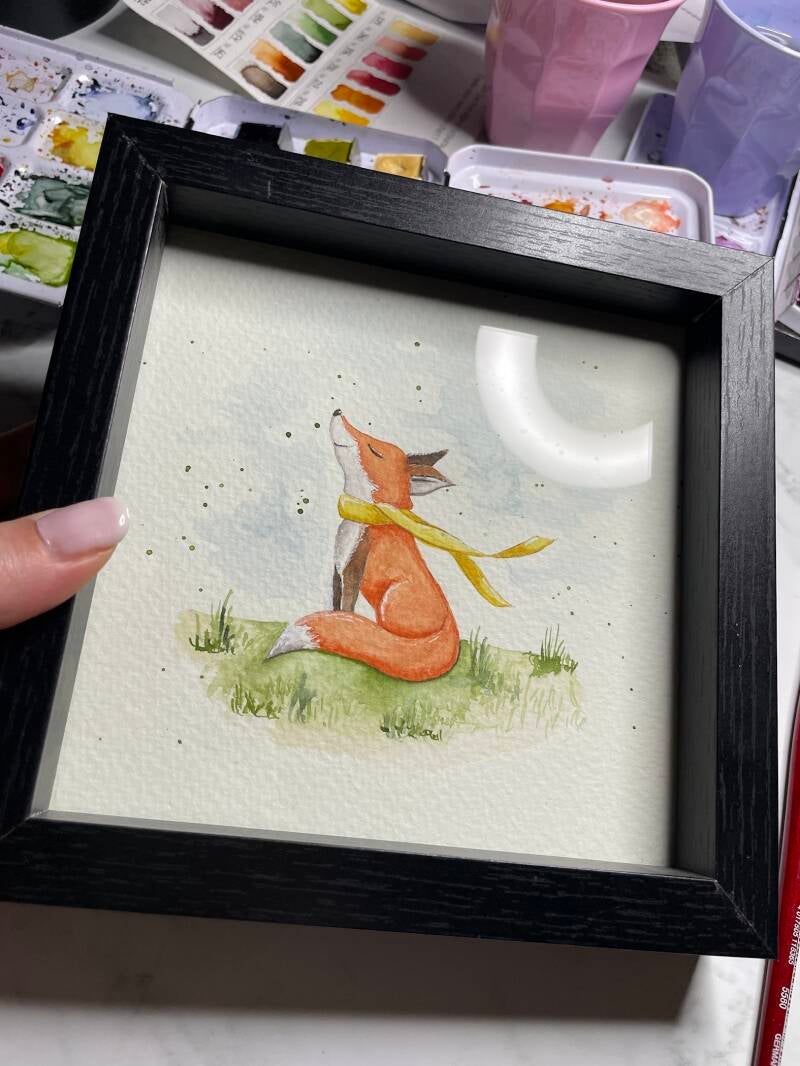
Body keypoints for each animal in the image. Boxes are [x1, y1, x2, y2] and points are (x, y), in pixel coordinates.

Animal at [267, 410, 461, 682]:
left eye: (374, 450)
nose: (338, 412)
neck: (368, 515)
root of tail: (451, 628)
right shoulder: (337, 568)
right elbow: (336, 607)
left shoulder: (353, 568)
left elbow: (347, 610)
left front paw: (351, 630)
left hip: (390, 600)